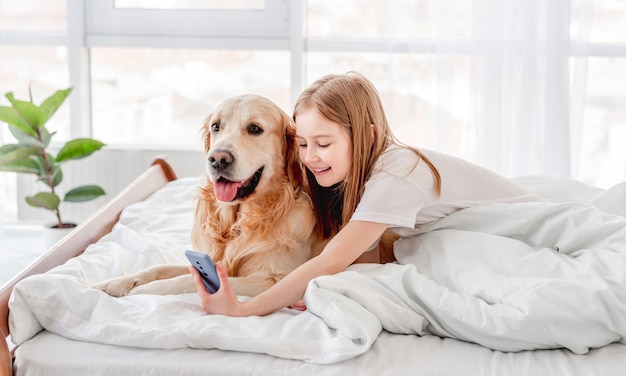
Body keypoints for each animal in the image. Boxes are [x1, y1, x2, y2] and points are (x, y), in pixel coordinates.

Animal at [95, 94, 320, 296]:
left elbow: (188, 280)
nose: (218, 159)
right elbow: (160, 268)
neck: (237, 223)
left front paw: (145, 289)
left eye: (255, 129)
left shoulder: (275, 280)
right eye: (216, 126)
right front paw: (115, 283)